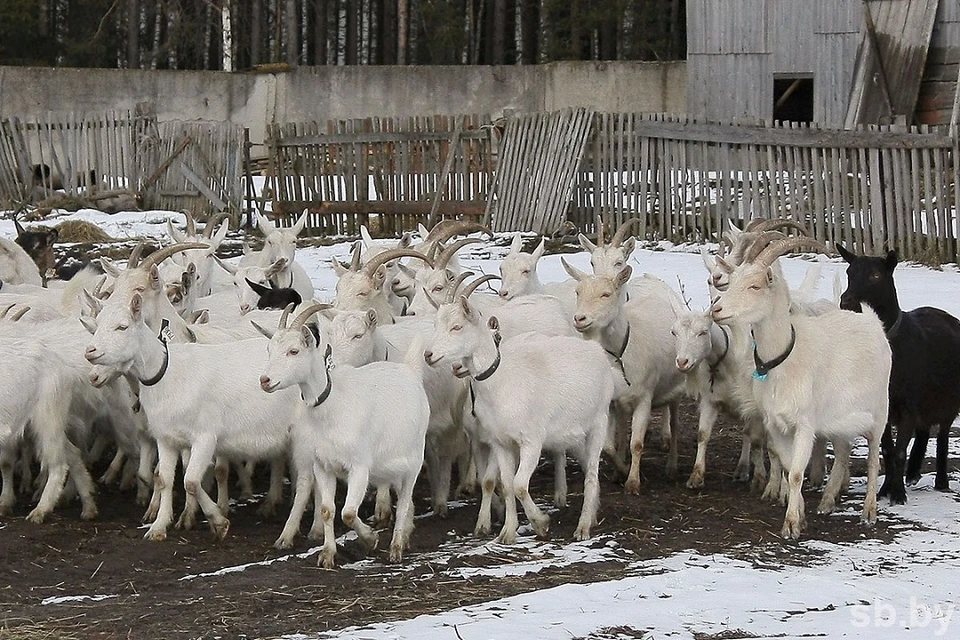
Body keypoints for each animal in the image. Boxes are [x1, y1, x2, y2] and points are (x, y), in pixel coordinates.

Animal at [836, 242, 960, 502]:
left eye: (876, 275)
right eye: (849, 272)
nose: (847, 301)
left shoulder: (908, 406)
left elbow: (901, 450)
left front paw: (898, 495)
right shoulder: (883, 407)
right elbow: (888, 450)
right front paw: (885, 490)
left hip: (948, 401)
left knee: (942, 435)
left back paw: (941, 481)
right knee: (924, 431)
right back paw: (912, 473)